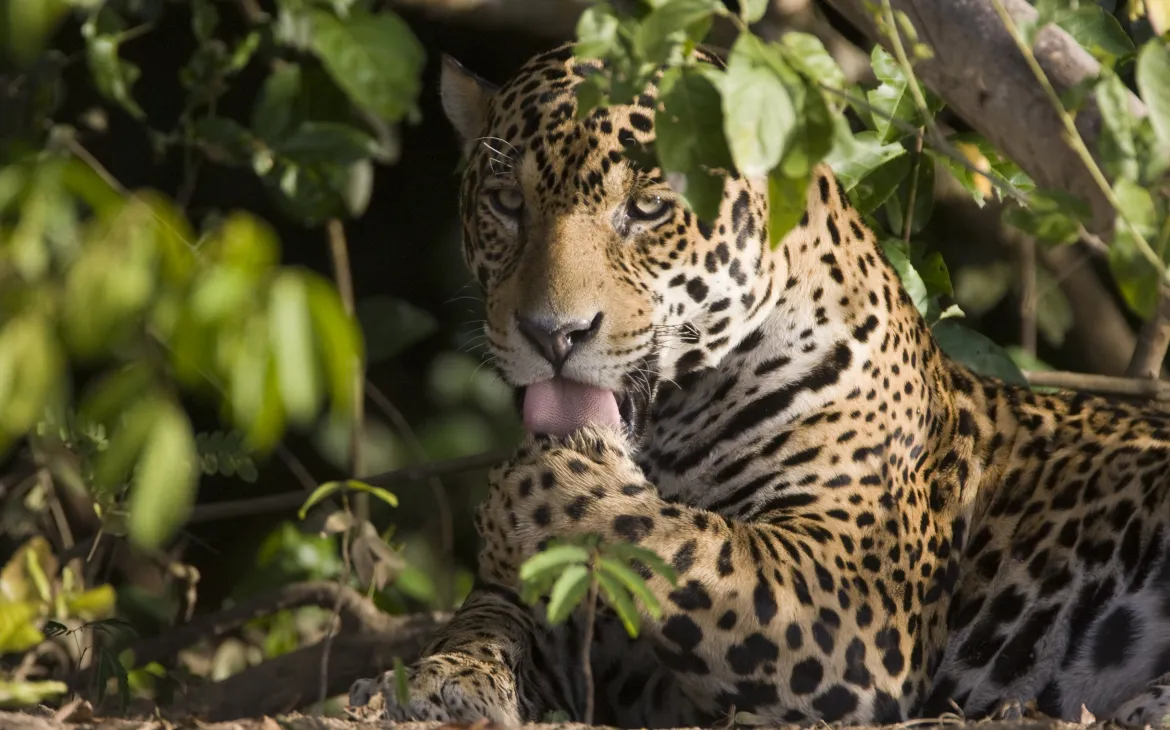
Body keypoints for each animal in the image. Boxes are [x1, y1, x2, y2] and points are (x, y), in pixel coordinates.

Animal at [349, 44, 1170, 728]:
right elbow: (490, 619)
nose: (553, 336)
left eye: (647, 208)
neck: (665, 427)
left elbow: (691, 542)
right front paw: (438, 677)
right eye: (506, 204)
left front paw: (543, 484)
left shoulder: (856, 601)